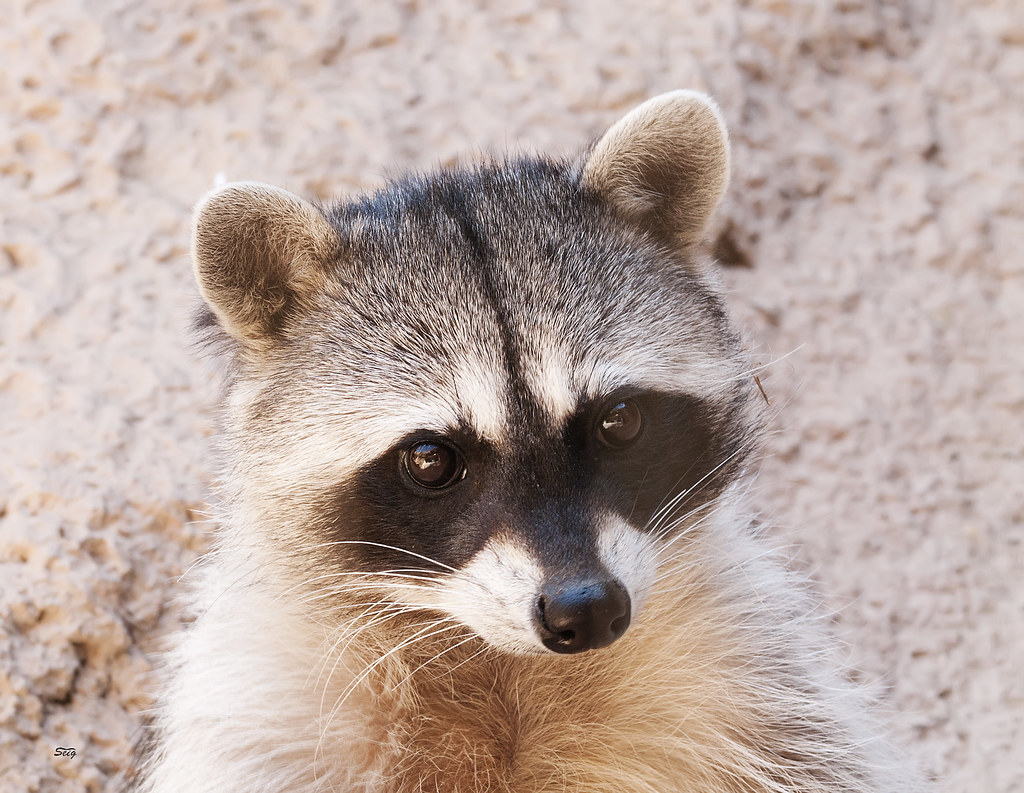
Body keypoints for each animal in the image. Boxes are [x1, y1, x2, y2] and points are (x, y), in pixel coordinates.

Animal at [137, 91, 918, 792]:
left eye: (618, 420)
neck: (496, 658)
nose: (587, 607)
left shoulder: (752, 686)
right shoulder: (268, 706)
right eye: (430, 459)